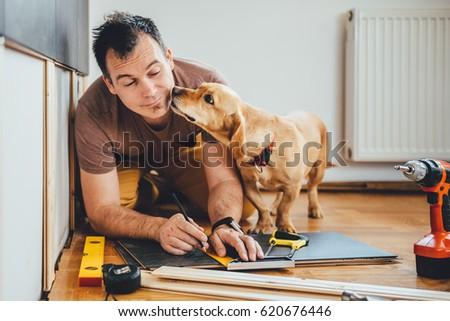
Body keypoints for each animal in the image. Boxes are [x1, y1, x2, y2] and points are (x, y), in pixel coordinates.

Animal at [171, 82, 328, 232]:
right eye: (198, 87)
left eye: (209, 99)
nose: (174, 89)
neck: (265, 150)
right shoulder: (249, 184)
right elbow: (262, 207)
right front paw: (262, 225)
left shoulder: (294, 186)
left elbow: (284, 208)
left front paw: (284, 225)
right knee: (279, 193)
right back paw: (273, 208)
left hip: (317, 171)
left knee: (312, 188)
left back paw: (315, 209)